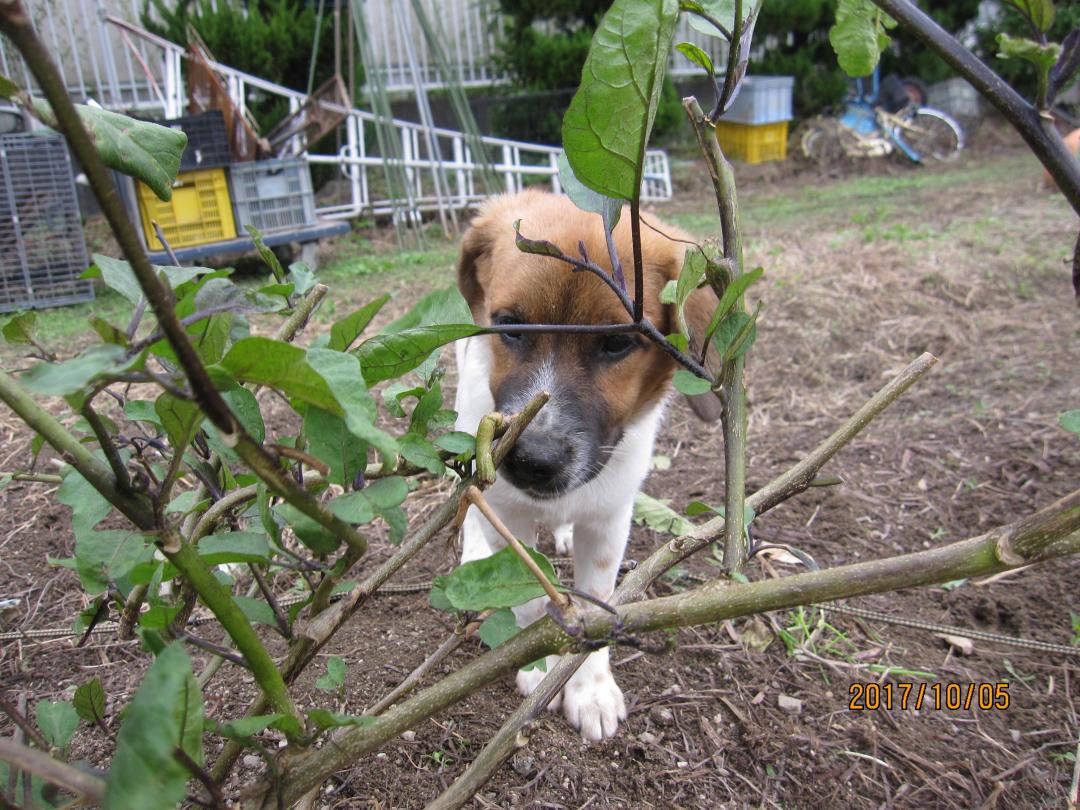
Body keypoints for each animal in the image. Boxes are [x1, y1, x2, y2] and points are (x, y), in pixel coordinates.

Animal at [451, 190, 721, 743]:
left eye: (617, 342)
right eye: (509, 326)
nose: (533, 461)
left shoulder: (608, 518)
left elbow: (597, 600)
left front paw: (588, 687)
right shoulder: (509, 512)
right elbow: (528, 596)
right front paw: (536, 668)